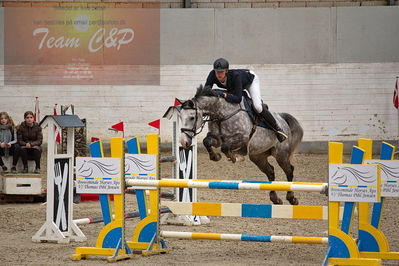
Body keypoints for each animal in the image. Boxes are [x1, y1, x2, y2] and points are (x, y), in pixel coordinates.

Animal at [168, 85, 304, 206]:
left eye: (192, 117)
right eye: (180, 117)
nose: (184, 142)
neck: (221, 113)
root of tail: (282, 119)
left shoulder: (242, 138)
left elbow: (225, 147)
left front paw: (235, 157)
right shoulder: (216, 138)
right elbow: (207, 142)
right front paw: (215, 156)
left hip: (281, 154)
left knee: (289, 170)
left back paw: (291, 198)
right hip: (258, 156)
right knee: (270, 172)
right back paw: (275, 199)